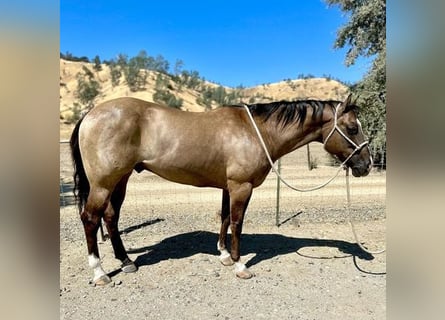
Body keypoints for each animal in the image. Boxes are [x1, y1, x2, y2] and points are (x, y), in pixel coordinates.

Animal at [70, 93, 372, 284]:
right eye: (352, 128)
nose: (366, 165)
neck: (256, 131)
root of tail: (90, 115)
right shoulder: (241, 186)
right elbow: (237, 223)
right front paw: (240, 265)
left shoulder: (229, 187)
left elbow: (225, 218)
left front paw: (225, 255)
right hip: (103, 183)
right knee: (91, 218)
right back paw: (100, 273)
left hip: (120, 180)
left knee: (111, 217)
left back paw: (126, 261)